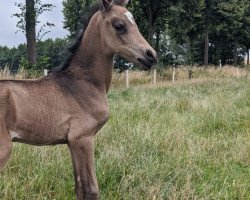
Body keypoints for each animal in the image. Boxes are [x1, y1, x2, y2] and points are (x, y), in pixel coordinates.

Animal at [0, 0, 156, 199]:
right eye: (119, 26)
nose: (151, 55)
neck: (83, 83)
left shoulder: (72, 143)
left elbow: (80, 188)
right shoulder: (84, 138)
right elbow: (91, 189)